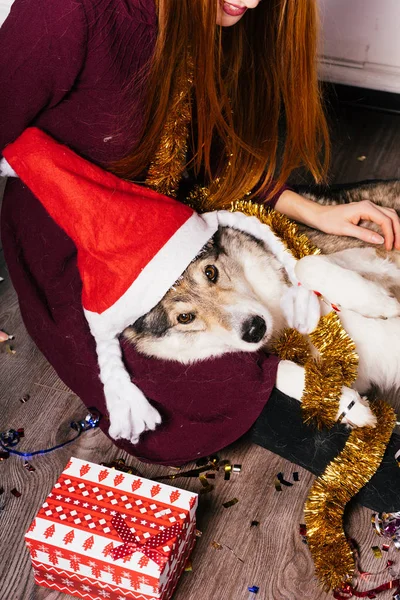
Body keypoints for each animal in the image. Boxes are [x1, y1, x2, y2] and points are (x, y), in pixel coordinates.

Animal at [125, 179, 400, 432]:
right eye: (184, 318)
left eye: (211, 272)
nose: (255, 329)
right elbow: (279, 372)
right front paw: (344, 404)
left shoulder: (379, 254)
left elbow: (306, 263)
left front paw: (379, 303)